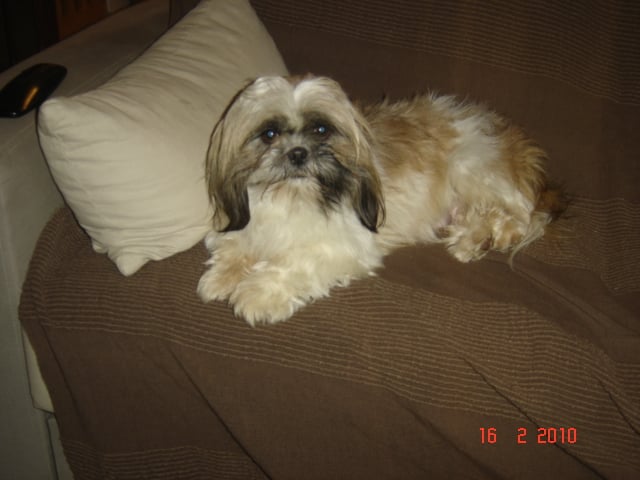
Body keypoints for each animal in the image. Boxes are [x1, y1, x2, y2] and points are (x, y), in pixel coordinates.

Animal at [197, 75, 565, 325]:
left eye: (321, 130)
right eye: (269, 134)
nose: (297, 153)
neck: (292, 195)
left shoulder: (342, 246)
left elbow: (291, 264)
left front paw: (257, 293)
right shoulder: (245, 225)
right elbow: (233, 246)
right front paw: (221, 277)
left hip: (471, 165)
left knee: (519, 216)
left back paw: (481, 239)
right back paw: (471, 238)